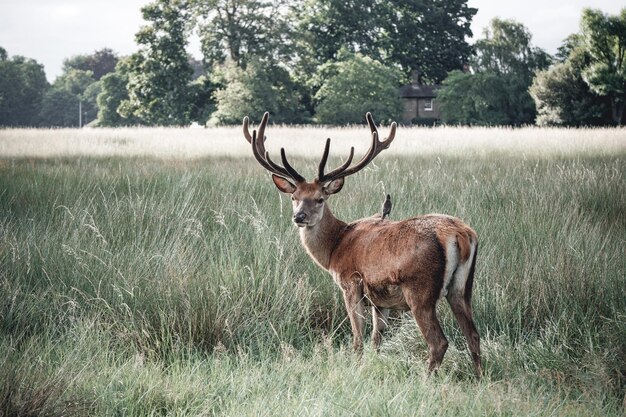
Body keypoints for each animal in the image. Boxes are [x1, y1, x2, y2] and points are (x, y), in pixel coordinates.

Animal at [241, 112, 480, 376]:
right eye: (294, 197)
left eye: (320, 199)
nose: (299, 217)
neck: (335, 247)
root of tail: (460, 234)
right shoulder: (380, 300)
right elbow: (376, 339)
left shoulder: (351, 283)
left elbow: (357, 338)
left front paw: (355, 366)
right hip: (462, 288)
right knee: (473, 335)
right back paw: (480, 377)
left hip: (420, 289)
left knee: (439, 342)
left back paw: (427, 379)